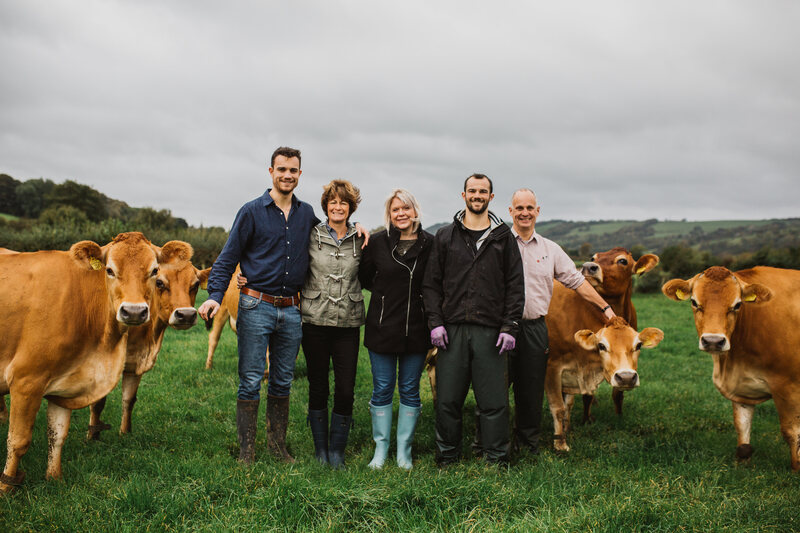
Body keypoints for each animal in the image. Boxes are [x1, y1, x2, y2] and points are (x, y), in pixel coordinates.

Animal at [0, 231, 162, 492]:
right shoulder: (26, 380)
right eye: (109, 270)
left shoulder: (66, 385)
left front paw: (54, 478)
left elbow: (57, 435)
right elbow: (18, 441)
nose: (134, 311)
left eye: (155, 271)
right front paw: (5, 489)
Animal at [85, 243, 209, 438]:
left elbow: (129, 399)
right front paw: (92, 437)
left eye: (195, 284)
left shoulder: (135, 363)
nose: (187, 315)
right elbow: (97, 402)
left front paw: (125, 433)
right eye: (159, 282)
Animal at [544, 316, 664, 448]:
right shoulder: (552, 368)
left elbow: (569, 404)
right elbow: (558, 408)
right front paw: (560, 444)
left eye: (638, 345)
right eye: (601, 346)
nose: (626, 377)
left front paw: (567, 428)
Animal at [664, 266, 800, 470]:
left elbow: (791, 432)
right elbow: (742, 427)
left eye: (737, 305)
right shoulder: (741, 387)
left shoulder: (787, 386)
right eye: (694, 302)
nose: (713, 341)